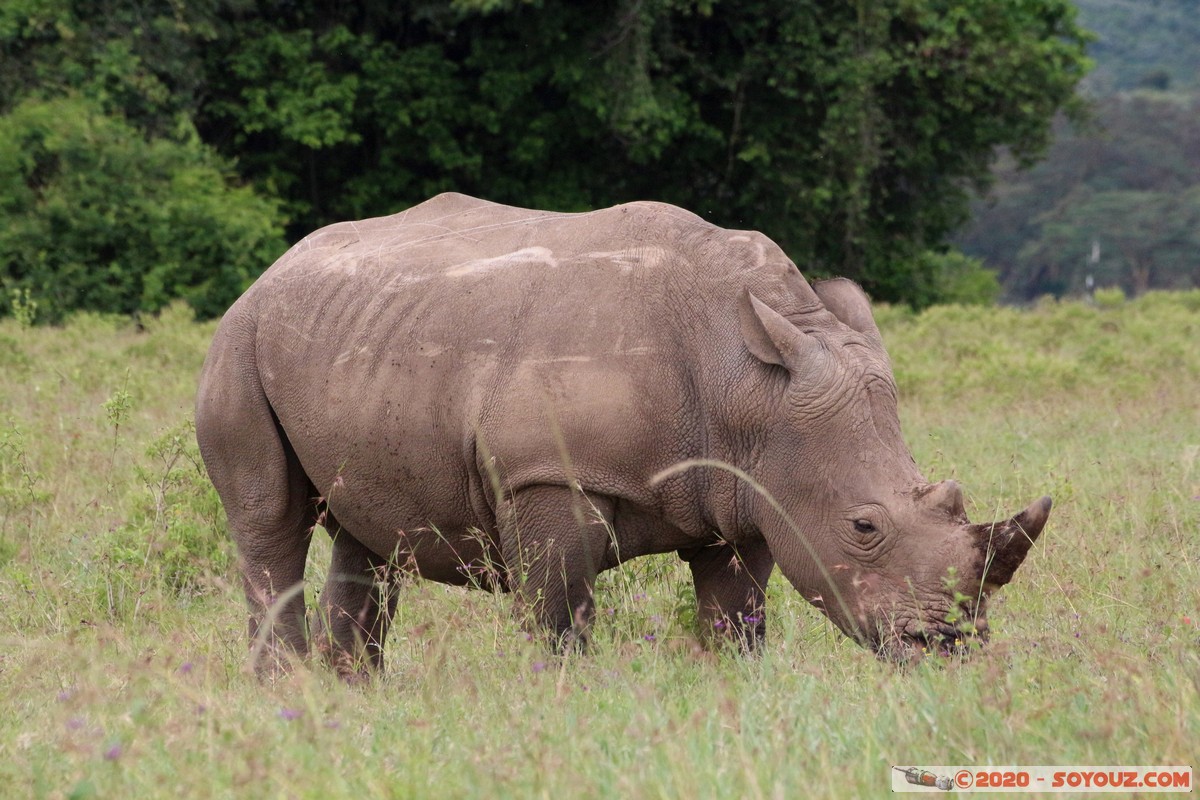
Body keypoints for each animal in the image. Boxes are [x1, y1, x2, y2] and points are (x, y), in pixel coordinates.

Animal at [196, 192, 1050, 677]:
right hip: (238, 340)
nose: (947, 647)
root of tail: (277, 266)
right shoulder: (547, 472)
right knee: (270, 520)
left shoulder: (744, 492)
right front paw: (569, 700)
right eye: (864, 527)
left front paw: (725, 691)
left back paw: (349, 696)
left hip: (357, 339)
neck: (746, 383)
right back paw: (287, 690)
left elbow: (737, 615)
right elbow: (560, 615)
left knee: (368, 535)